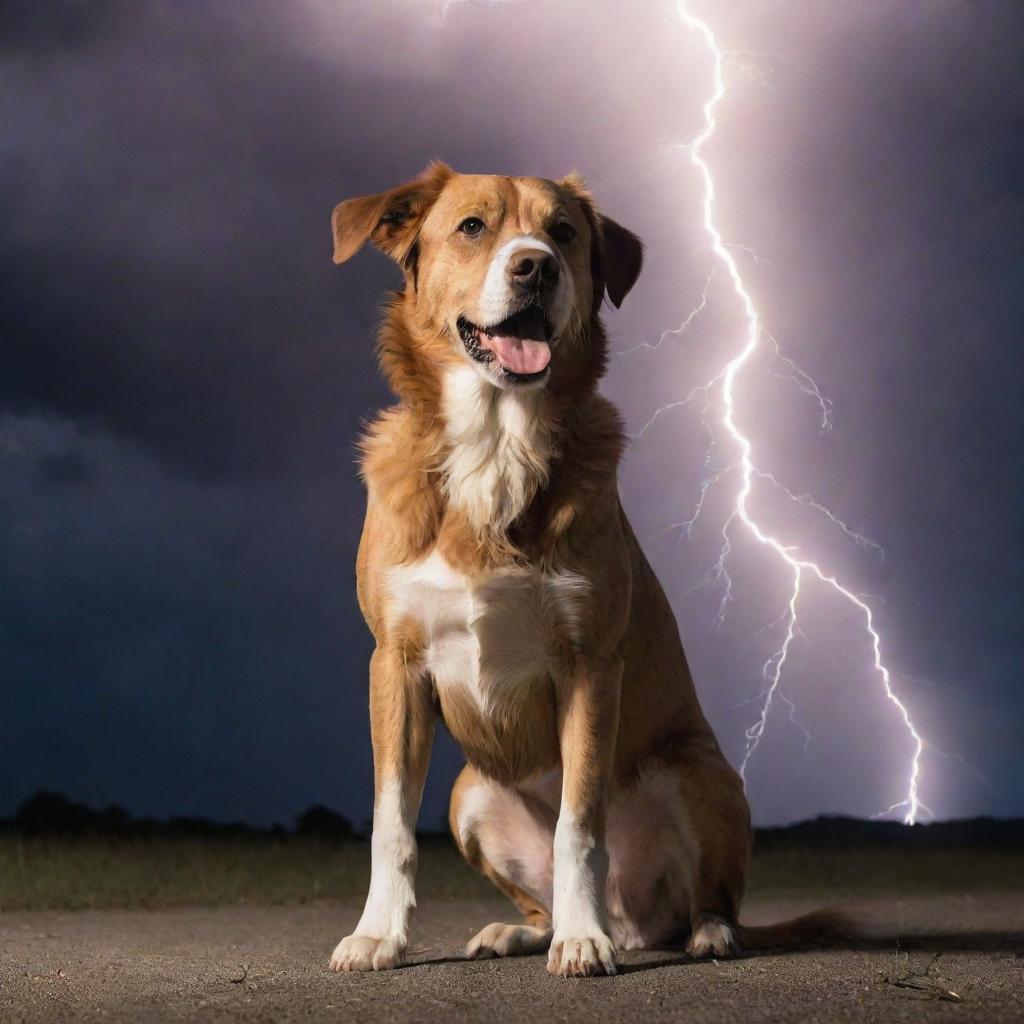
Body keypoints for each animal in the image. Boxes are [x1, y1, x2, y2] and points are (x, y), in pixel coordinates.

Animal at [327, 161, 839, 974]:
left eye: (563, 232)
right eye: (472, 226)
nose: (536, 266)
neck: (495, 444)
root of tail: (637, 920)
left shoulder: (591, 665)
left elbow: (580, 824)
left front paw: (582, 939)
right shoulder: (395, 663)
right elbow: (391, 823)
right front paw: (379, 933)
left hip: (700, 775)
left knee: (708, 898)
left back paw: (694, 933)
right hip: (469, 790)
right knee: (527, 893)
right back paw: (520, 929)